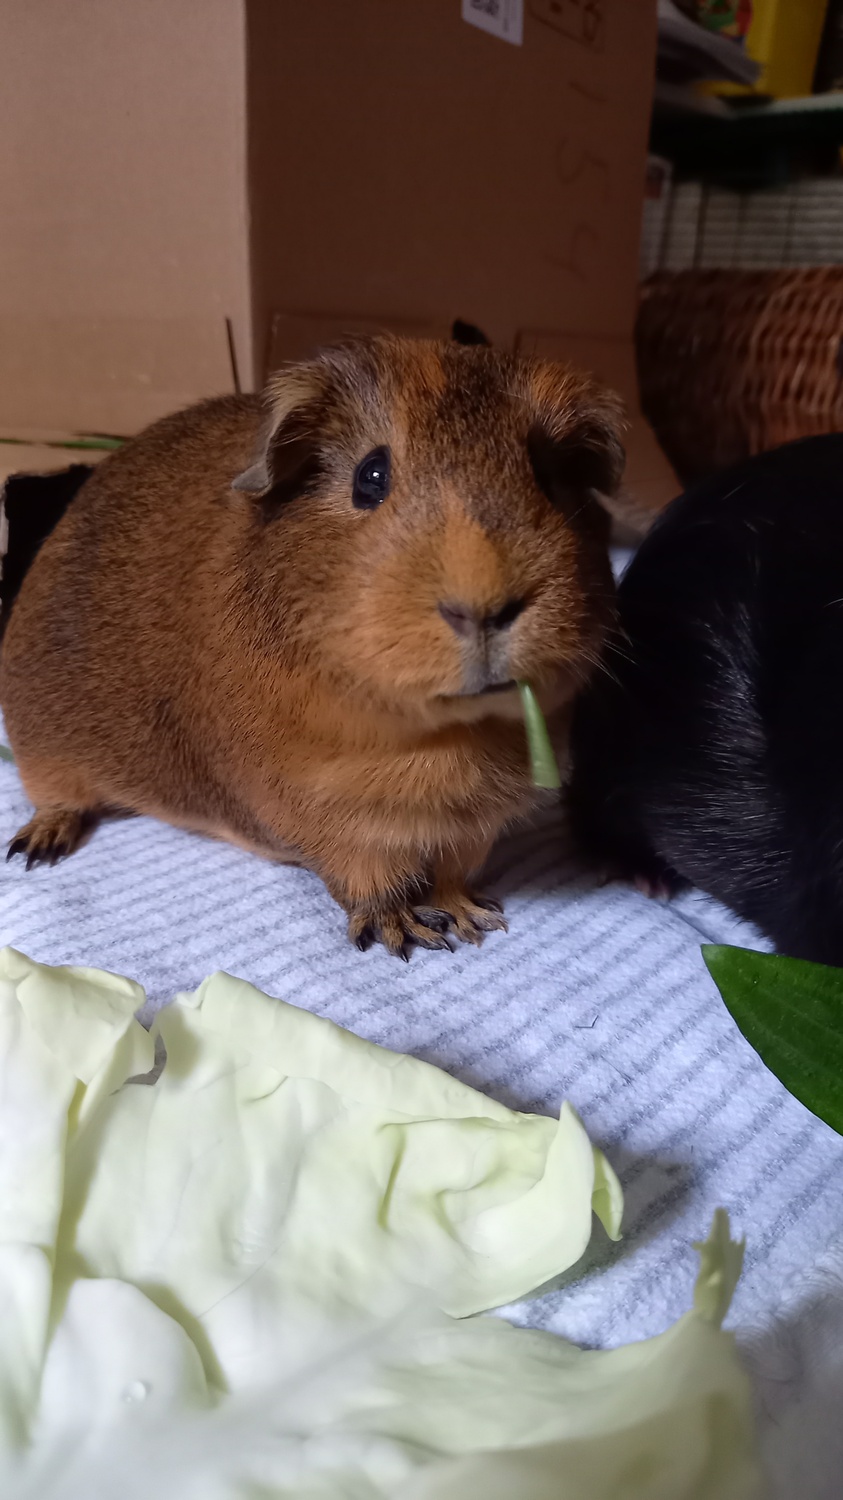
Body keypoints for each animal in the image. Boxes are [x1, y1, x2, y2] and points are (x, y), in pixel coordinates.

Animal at [1, 334, 627, 957]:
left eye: (546, 476)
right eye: (370, 477)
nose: (483, 608)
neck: (445, 741)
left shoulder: (475, 827)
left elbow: (453, 876)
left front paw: (471, 922)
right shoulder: (327, 818)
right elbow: (371, 881)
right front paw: (407, 935)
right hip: (45, 754)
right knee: (55, 799)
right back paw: (34, 850)